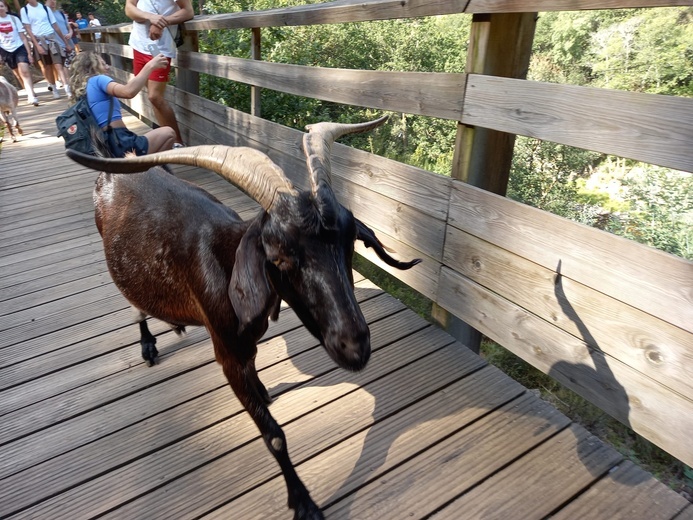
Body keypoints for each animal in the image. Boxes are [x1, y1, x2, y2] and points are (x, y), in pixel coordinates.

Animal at [67, 118, 418, 520]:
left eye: (349, 244)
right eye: (279, 257)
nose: (355, 345)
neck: (227, 262)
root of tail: (113, 165)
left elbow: (255, 368)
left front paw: (263, 390)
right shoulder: (227, 354)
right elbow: (275, 436)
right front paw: (304, 503)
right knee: (134, 304)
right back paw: (148, 345)